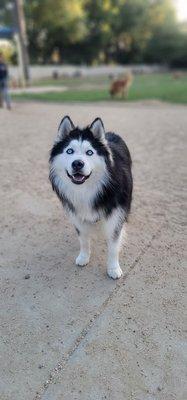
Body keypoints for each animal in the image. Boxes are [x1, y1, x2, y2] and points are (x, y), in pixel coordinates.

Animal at [49, 115, 132, 278]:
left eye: (89, 152)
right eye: (69, 151)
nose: (77, 163)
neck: (86, 190)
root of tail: (110, 133)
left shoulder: (115, 218)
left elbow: (113, 246)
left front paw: (113, 268)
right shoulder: (78, 217)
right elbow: (83, 240)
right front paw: (84, 257)